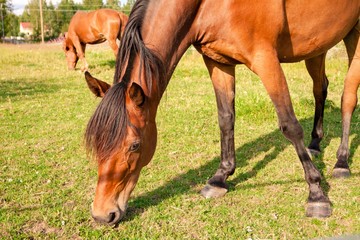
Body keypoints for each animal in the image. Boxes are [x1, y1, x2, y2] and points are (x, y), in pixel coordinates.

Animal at [83, 0, 358, 225]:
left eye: (135, 145)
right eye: (96, 144)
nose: (103, 214)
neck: (208, 4)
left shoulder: (265, 59)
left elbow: (289, 124)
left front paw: (316, 194)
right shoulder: (218, 62)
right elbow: (226, 118)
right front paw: (220, 177)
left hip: (354, 36)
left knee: (347, 98)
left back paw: (341, 162)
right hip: (317, 46)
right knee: (320, 88)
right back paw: (315, 143)